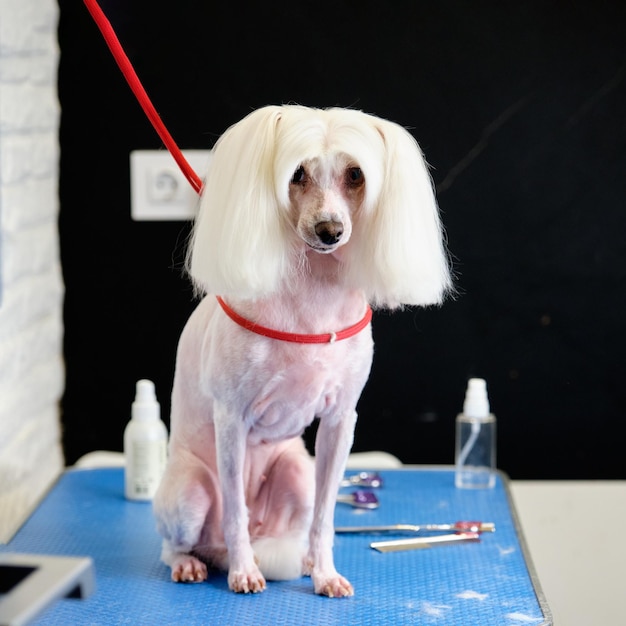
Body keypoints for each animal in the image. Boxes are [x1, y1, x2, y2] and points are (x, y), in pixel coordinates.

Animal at [154, 103, 450, 596]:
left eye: (355, 174)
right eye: (296, 174)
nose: (329, 230)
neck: (314, 296)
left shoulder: (340, 421)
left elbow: (325, 518)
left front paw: (325, 573)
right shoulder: (231, 420)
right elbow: (234, 512)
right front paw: (244, 572)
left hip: (297, 475)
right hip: (190, 494)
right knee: (180, 542)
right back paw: (196, 563)